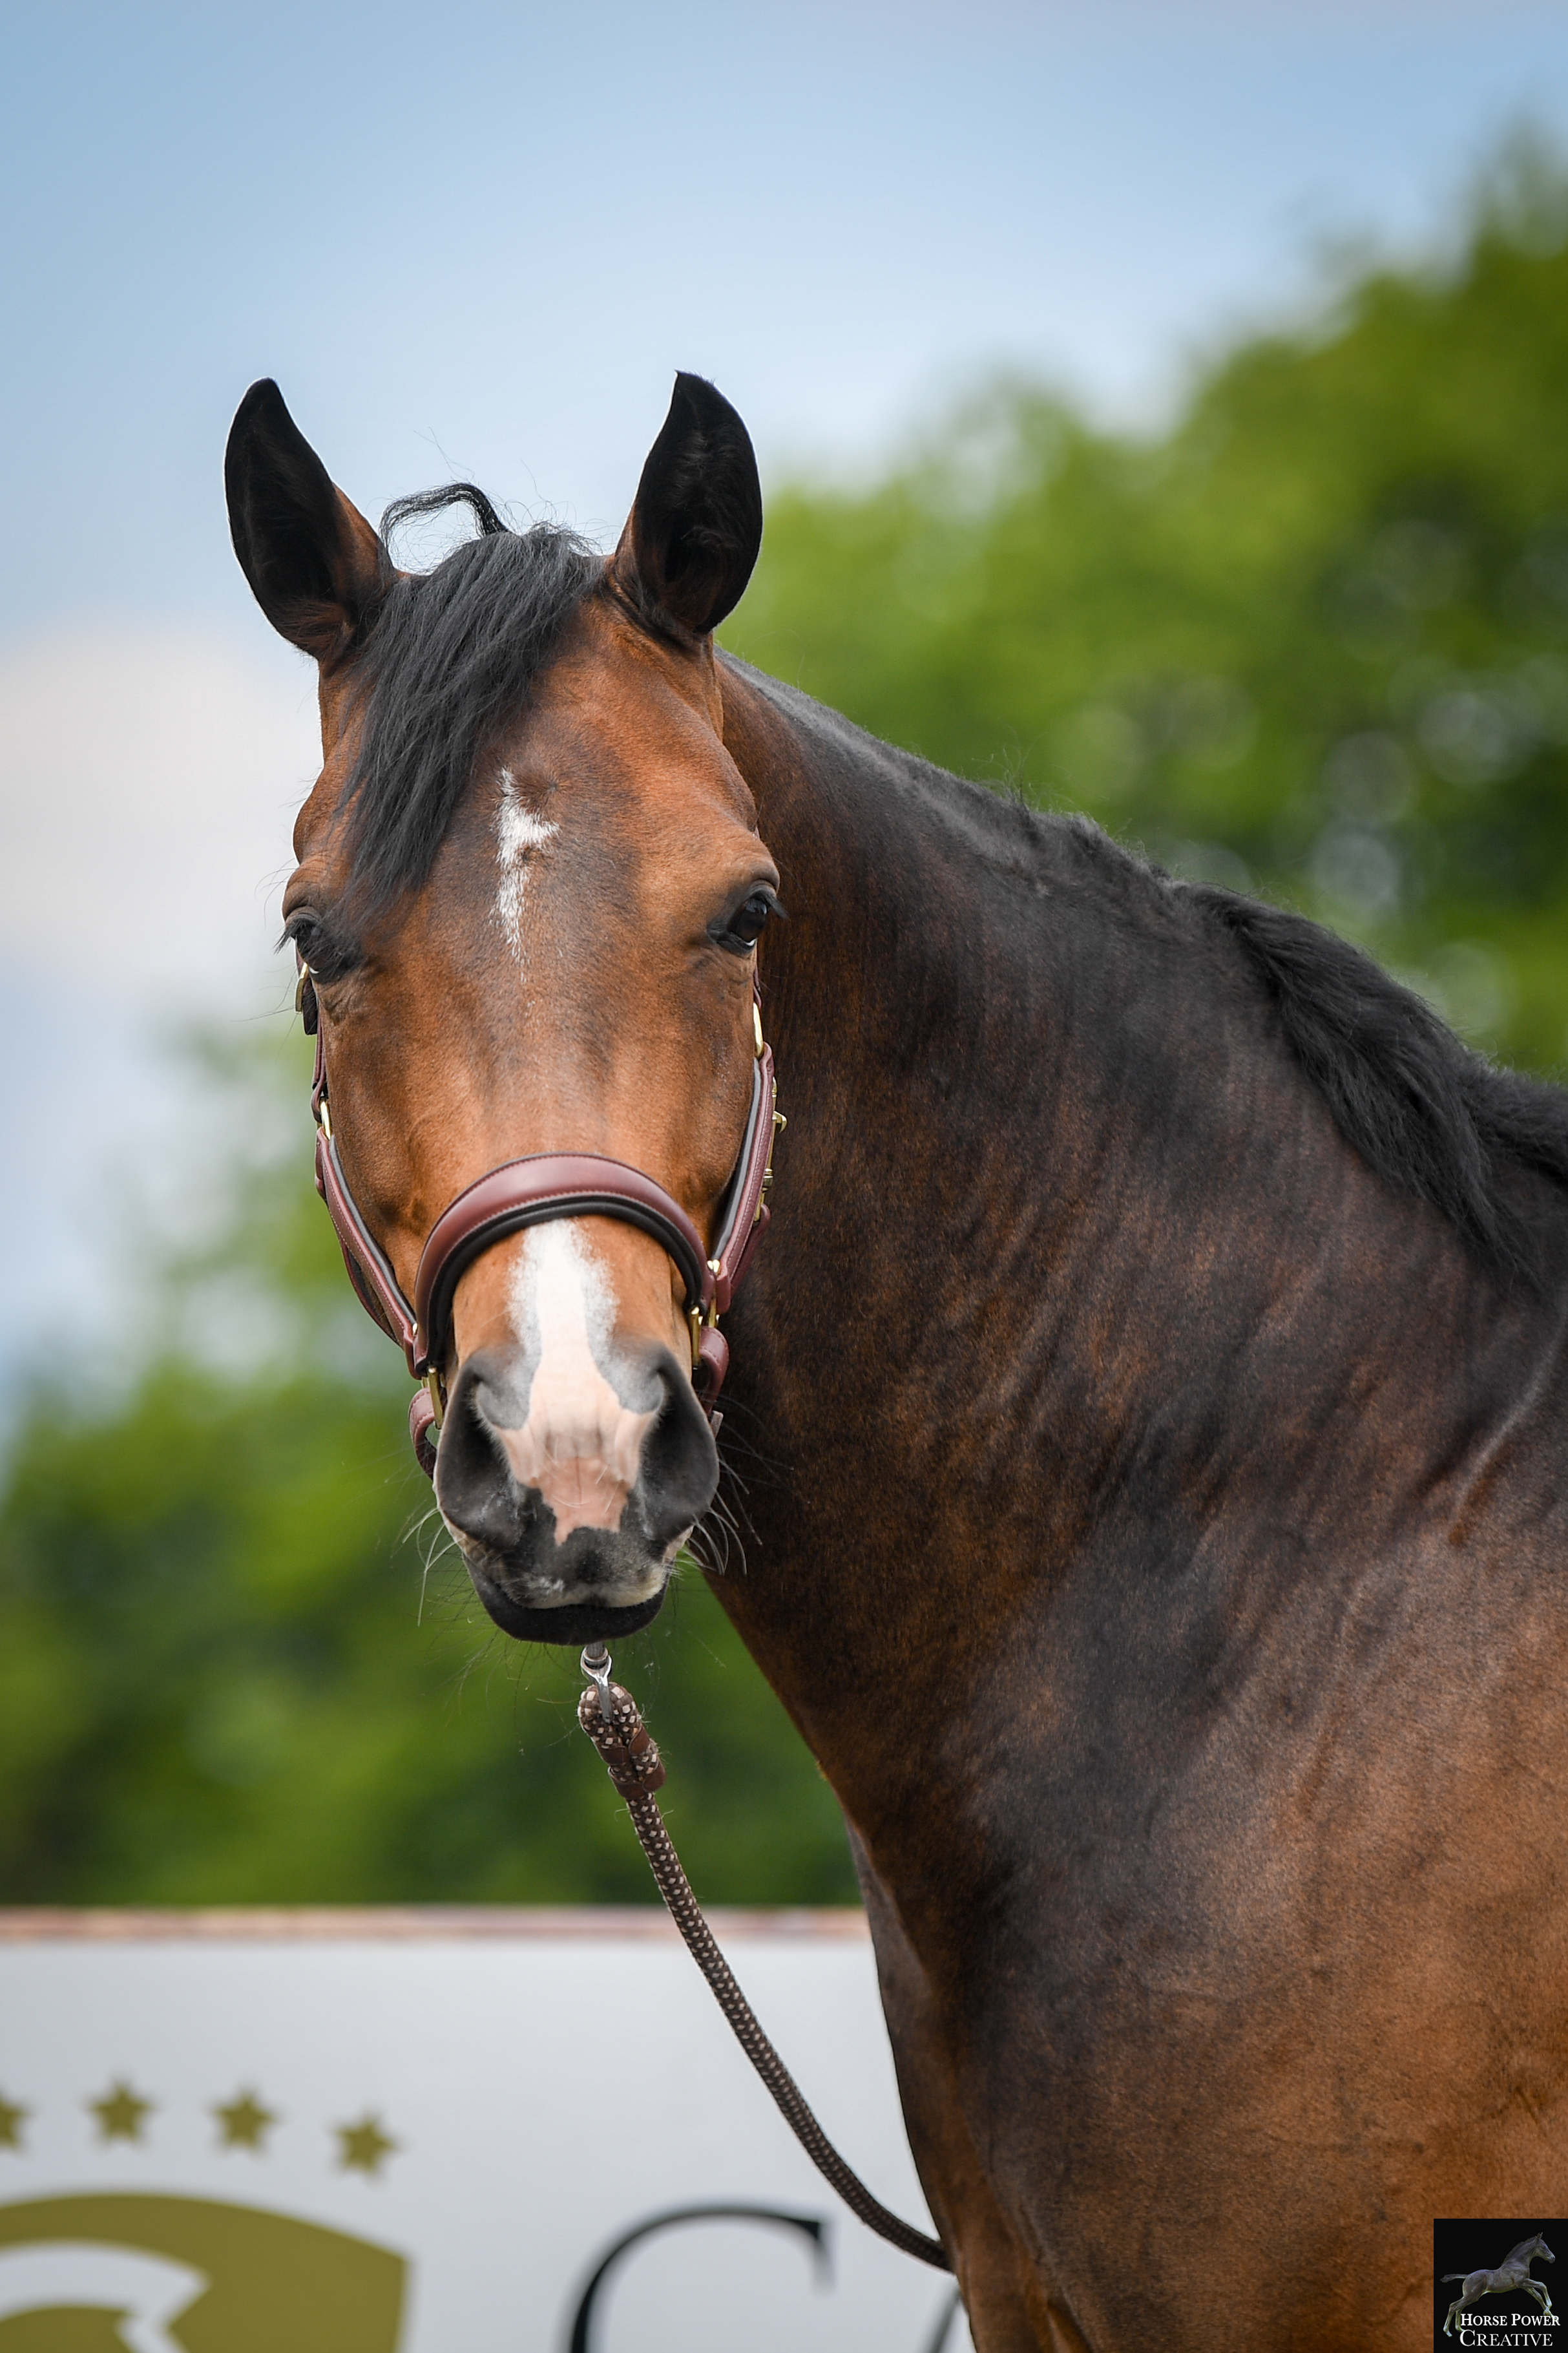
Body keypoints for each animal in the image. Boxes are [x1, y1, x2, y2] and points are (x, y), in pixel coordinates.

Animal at [1443, 2232, 1555, 2334]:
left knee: (1459, 2308)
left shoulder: (1525, 2285)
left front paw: (1552, 2317)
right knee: (1454, 2306)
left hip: (1469, 2296)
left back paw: (1460, 2329)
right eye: (1544, 2247)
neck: (1518, 2263)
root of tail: (1467, 2276)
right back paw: (1447, 2331)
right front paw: (1548, 2309)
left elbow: (1538, 2296)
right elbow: (1542, 2285)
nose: (1553, 2258)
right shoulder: (1522, 2282)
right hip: (1472, 2296)